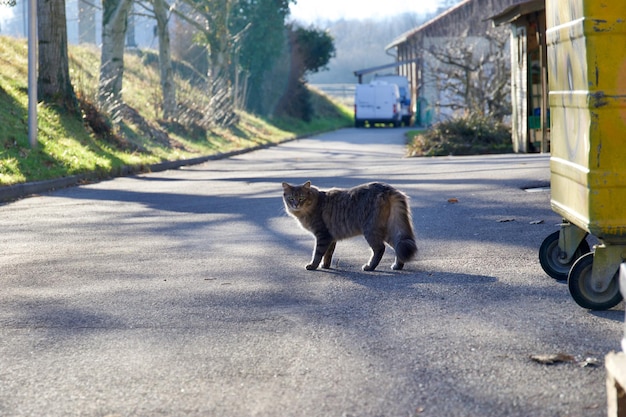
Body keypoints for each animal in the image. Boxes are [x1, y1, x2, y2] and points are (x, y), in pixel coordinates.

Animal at [282, 180, 416, 272]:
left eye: (301, 198)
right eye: (291, 198)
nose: (295, 204)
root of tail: (387, 188)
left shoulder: (322, 235)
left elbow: (318, 253)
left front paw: (313, 266)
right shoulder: (331, 238)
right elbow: (328, 254)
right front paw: (325, 266)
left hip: (371, 229)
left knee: (380, 248)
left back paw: (370, 267)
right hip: (387, 229)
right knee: (399, 245)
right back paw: (397, 266)